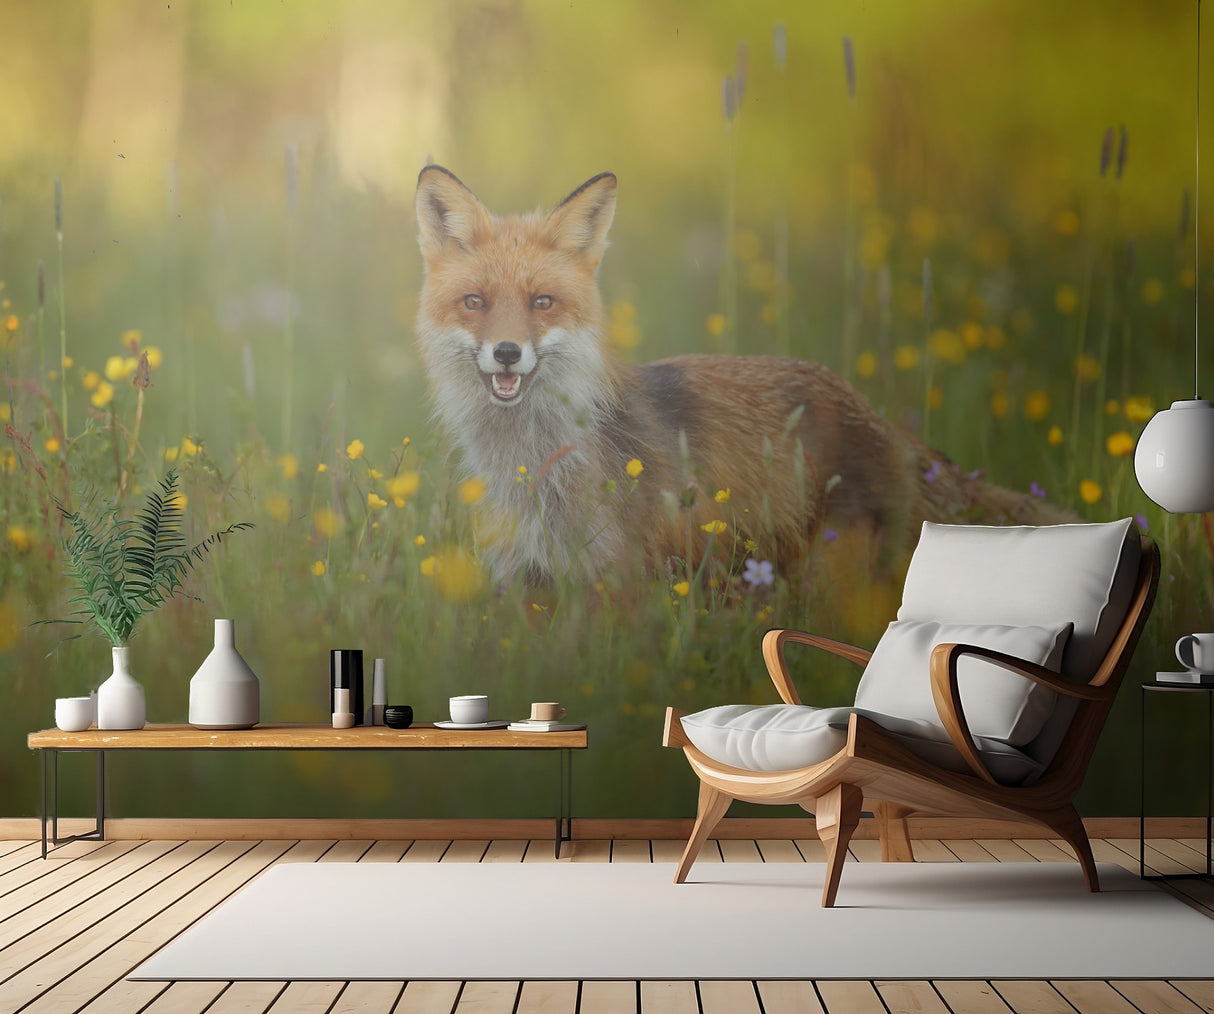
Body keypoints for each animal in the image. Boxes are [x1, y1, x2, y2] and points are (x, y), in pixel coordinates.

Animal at [414, 165, 1066, 586]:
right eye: (475, 303)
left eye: (542, 303)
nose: (506, 353)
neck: (536, 472)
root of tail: (878, 417)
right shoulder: (528, 587)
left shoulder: (616, 584)